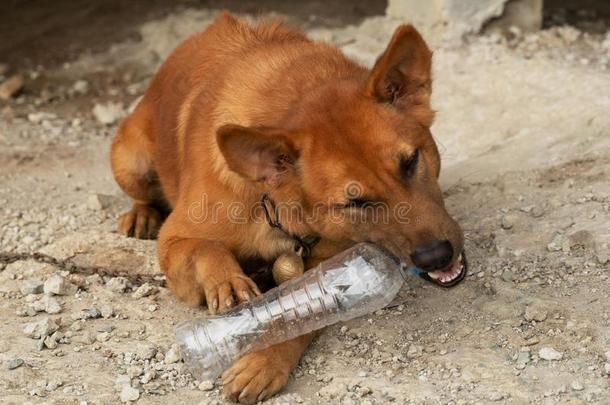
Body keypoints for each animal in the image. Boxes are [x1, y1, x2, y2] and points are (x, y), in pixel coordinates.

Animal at [109, 11, 466, 400]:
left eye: (411, 162)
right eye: (354, 201)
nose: (436, 257)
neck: (276, 205)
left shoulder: (331, 264)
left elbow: (298, 312)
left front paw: (265, 360)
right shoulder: (174, 239)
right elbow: (206, 249)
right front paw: (227, 281)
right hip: (132, 164)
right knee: (143, 194)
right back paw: (141, 215)